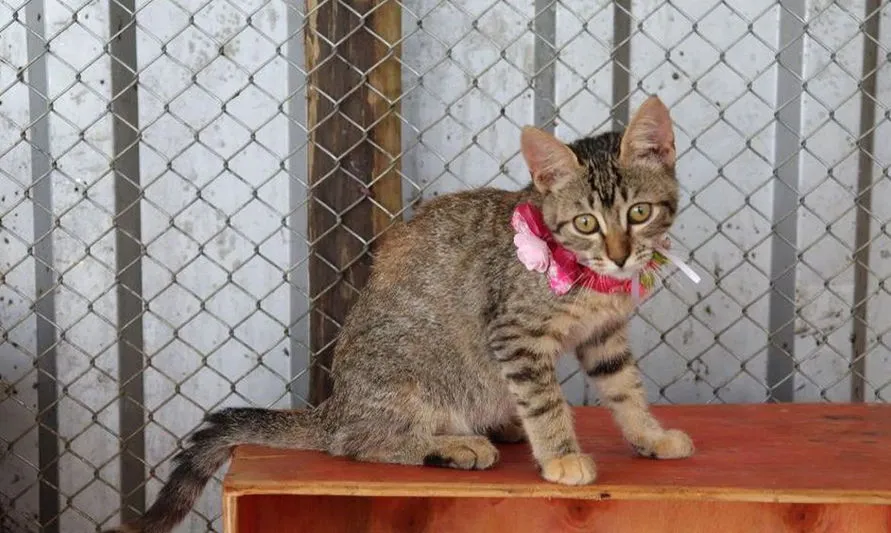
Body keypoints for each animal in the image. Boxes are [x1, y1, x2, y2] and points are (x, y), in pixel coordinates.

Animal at [106, 95, 696, 532]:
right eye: (585, 223)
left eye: (639, 213)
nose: (619, 255)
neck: (593, 279)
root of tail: (332, 409)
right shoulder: (514, 334)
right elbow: (546, 401)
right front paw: (560, 456)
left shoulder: (605, 334)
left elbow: (623, 387)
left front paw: (649, 435)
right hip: (404, 383)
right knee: (355, 445)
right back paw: (453, 446)